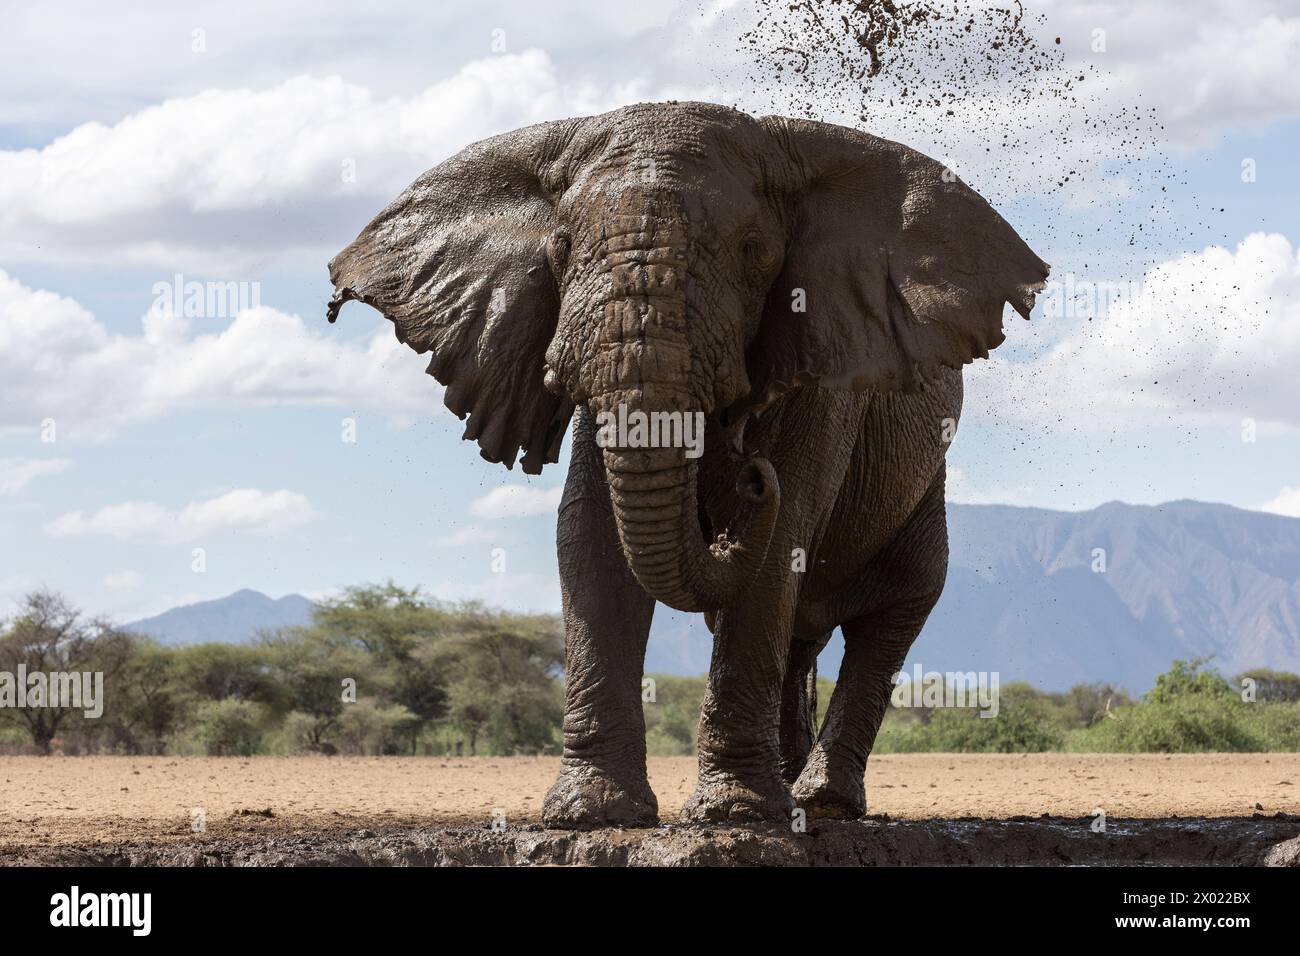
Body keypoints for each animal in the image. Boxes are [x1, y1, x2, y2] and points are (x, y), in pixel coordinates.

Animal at [327, 101, 1048, 828]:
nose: (751, 473)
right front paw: (593, 814)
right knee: (799, 638)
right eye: (561, 247)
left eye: (755, 252)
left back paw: (822, 802)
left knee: (895, 610)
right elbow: (588, 538)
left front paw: (735, 815)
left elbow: (782, 540)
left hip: (923, 487)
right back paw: (791, 783)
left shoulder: (824, 367)